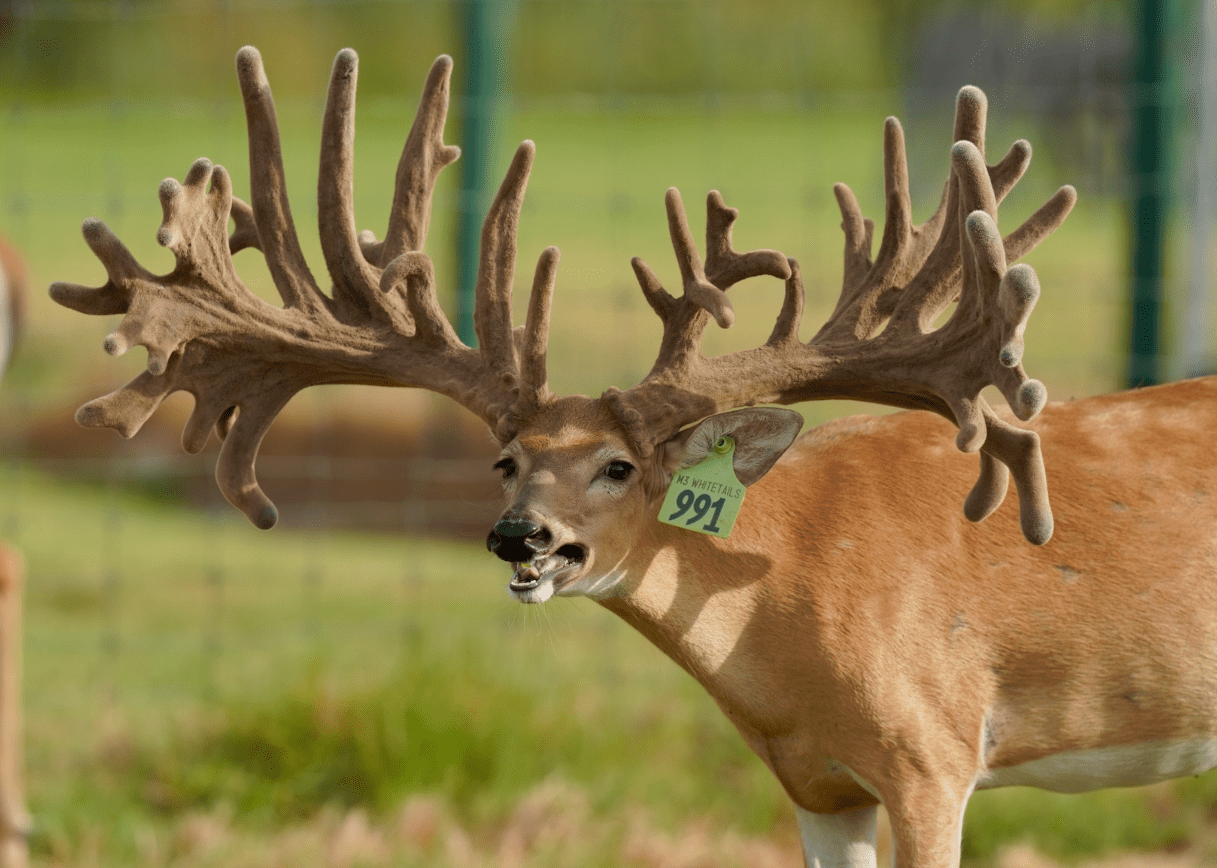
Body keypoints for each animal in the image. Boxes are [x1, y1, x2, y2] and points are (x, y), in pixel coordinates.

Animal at [49, 46, 1216, 868]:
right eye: (504, 461)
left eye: (617, 465)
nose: (520, 537)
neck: (789, 589)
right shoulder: (818, 781)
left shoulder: (934, 748)